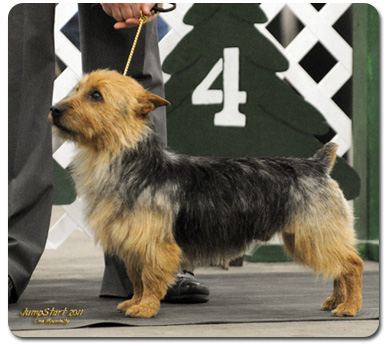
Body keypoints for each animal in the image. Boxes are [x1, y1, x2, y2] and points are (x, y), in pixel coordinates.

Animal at [50, 69, 364, 320]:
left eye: (96, 96)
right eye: (76, 90)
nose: (54, 109)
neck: (124, 158)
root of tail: (317, 164)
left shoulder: (153, 245)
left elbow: (149, 278)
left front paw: (146, 308)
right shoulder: (134, 242)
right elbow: (137, 279)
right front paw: (134, 303)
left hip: (315, 234)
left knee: (351, 264)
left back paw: (350, 306)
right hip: (308, 236)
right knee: (339, 267)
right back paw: (336, 301)